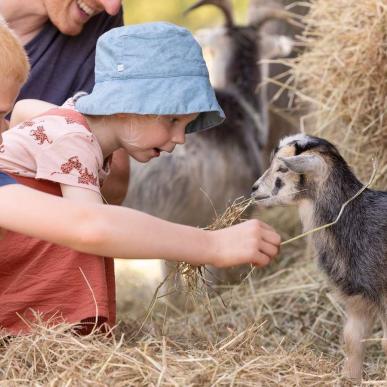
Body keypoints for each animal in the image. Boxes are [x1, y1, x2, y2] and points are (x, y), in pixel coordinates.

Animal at [252, 134, 387, 382]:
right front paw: (349, 379)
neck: (357, 220)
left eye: (283, 168)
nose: (254, 188)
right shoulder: (358, 299)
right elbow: (352, 340)